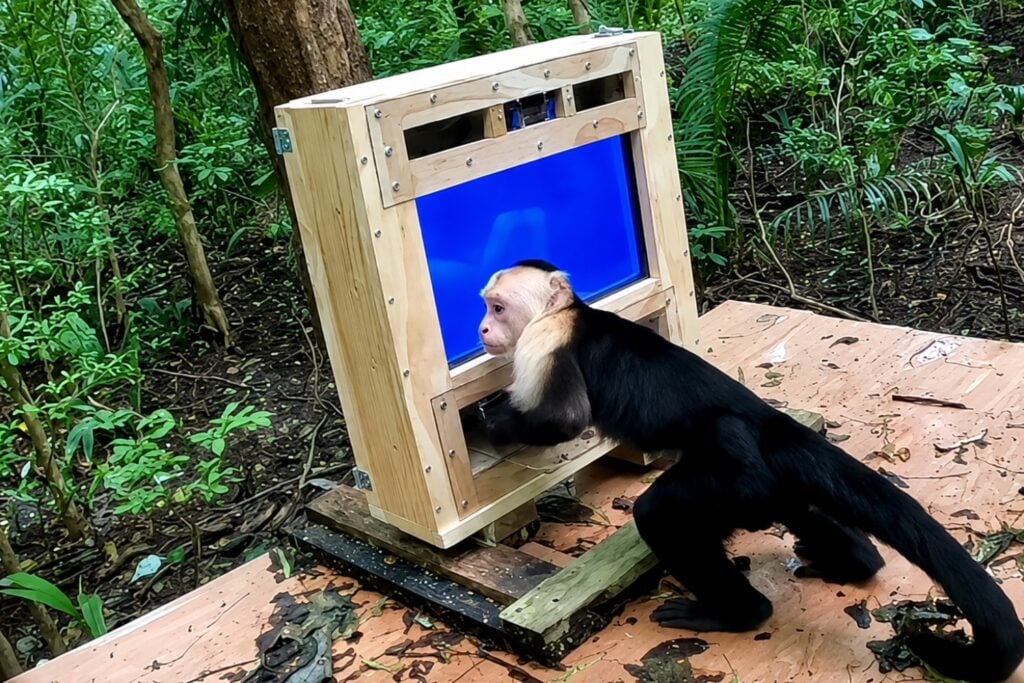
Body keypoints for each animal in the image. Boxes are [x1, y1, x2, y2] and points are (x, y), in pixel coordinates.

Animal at [475, 259, 1024, 683]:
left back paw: (736, 613)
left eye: (496, 307)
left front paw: (494, 422)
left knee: (660, 514)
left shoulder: (545, 340)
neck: (568, 312)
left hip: (731, 478)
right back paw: (852, 560)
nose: (481, 330)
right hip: (762, 488)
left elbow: (563, 420)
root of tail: (768, 423)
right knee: (799, 510)